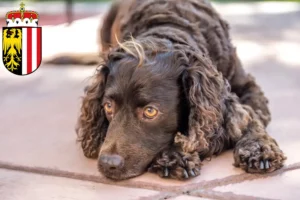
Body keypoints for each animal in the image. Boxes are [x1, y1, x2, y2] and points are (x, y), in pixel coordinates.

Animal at [75, 0, 286, 180]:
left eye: (150, 111)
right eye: (108, 107)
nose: (107, 164)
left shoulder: (248, 88)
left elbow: (251, 117)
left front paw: (259, 148)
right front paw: (175, 155)